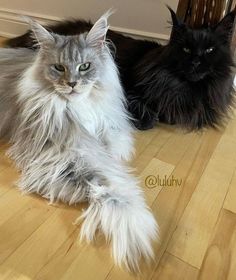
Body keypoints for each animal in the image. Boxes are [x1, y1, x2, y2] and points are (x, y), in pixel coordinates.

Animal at [0, 12, 159, 270]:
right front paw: (128, 219)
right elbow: (103, 182)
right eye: (59, 68)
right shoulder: (61, 152)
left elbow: (113, 148)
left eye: (85, 67)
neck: (78, 107)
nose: (72, 84)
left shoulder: (109, 127)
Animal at [6, 7, 236, 130]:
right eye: (186, 49)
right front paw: (146, 119)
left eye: (210, 49)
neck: (184, 88)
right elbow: (147, 113)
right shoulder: (131, 90)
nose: (196, 61)